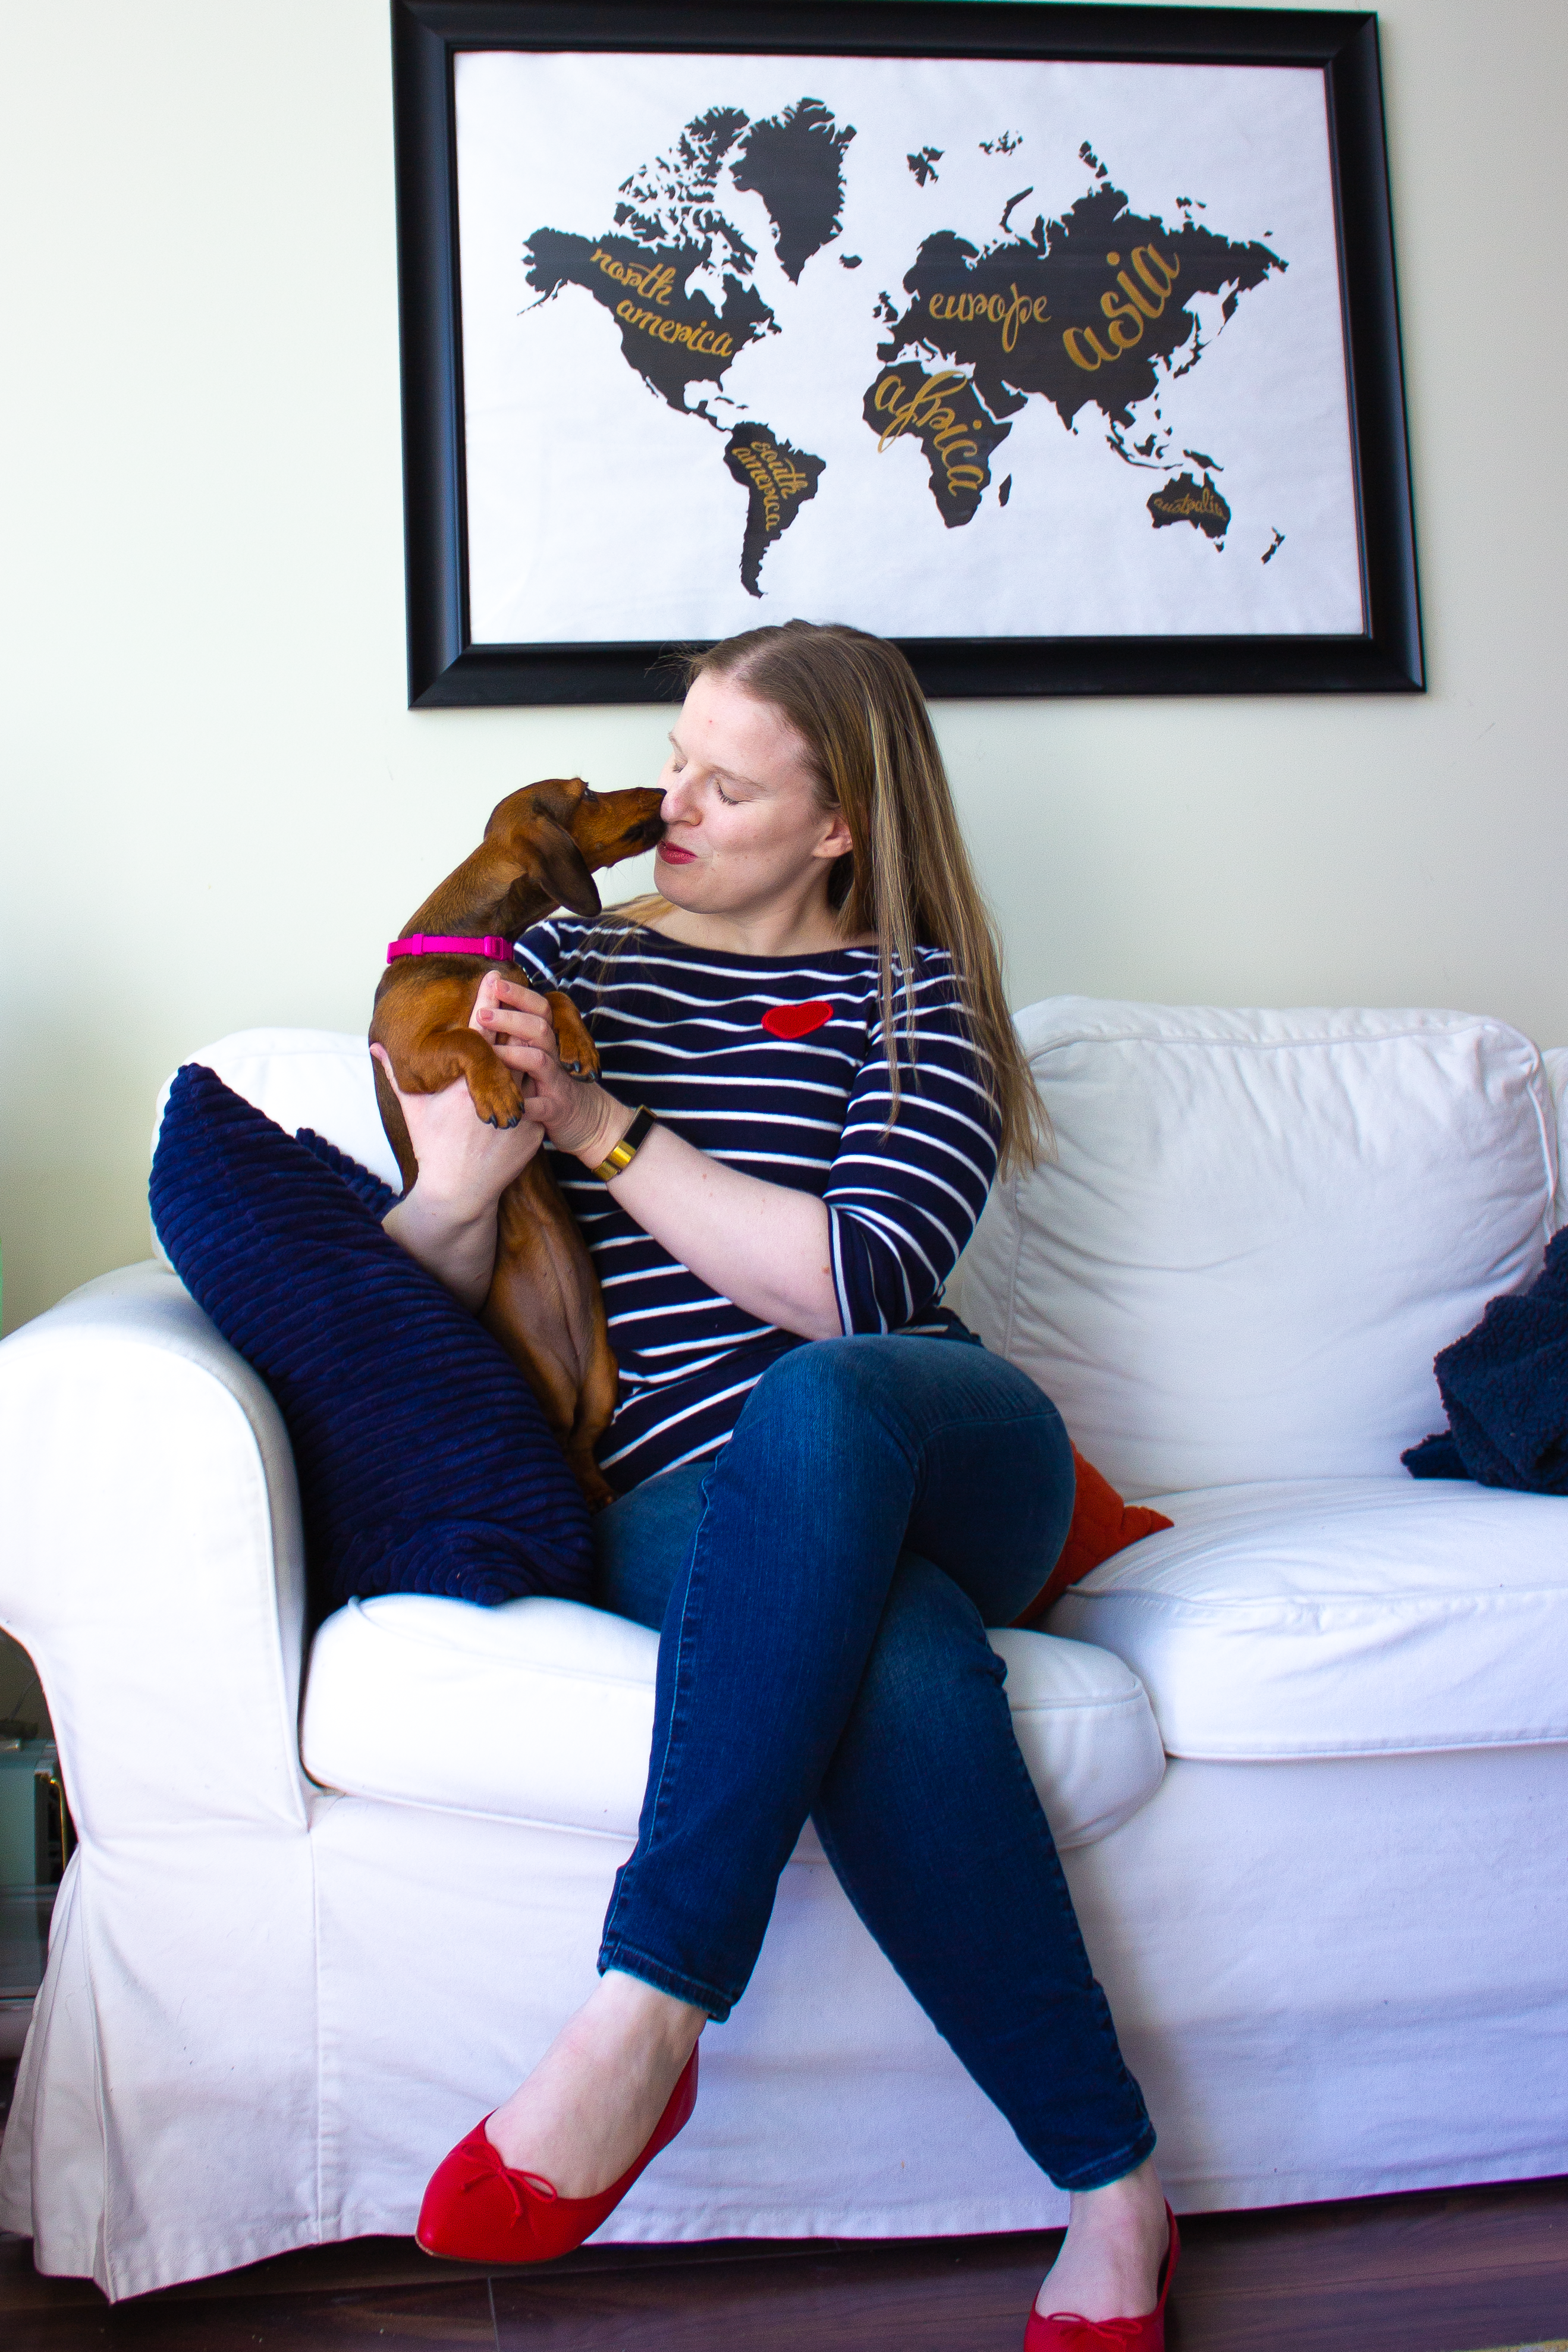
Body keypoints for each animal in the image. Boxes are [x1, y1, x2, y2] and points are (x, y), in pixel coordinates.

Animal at [376, 771, 667, 1505]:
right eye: (586, 793)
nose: (662, 789)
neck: (475, 945)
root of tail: (570, 1362)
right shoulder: (412, 1055)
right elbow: (467, 1039)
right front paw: (497, 1090)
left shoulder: (525, 996)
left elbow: (554, 997)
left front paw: (579, 1046)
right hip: (540, 1378)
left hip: (604, 1377)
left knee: (583, 1449)